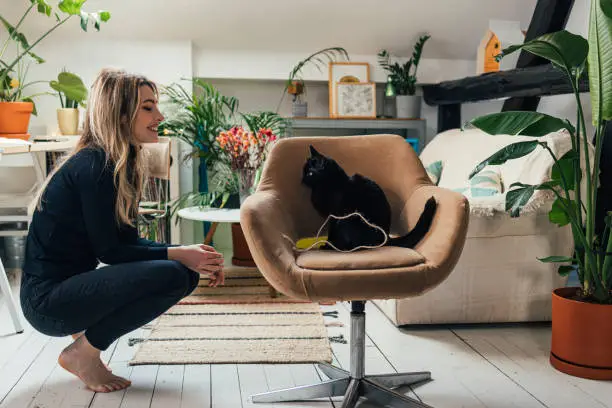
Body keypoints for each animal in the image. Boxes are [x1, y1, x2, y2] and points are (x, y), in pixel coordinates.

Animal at [300, 145, 436, 250]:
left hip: (348, 219)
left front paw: (328, 245)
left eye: (309, 173)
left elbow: (331, 233)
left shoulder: (334, 215)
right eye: (304, 171)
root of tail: (387, 238)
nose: (302, 180)